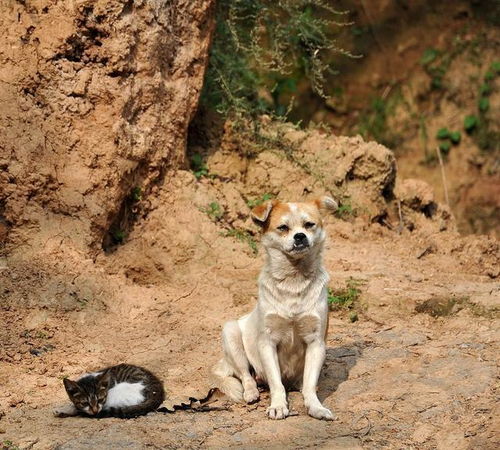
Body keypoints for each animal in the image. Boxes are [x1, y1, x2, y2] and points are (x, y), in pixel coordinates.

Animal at [213, 195, 338, 420]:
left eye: (309, 225)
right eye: (283, 227)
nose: (300, 236)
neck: (294, 279)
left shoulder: (316, 342)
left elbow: (310, 384)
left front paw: (315, 407)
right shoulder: (267, 342)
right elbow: (276, 384)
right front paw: (278, 406)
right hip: (230, 332)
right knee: (246, 376)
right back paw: (251, 393)